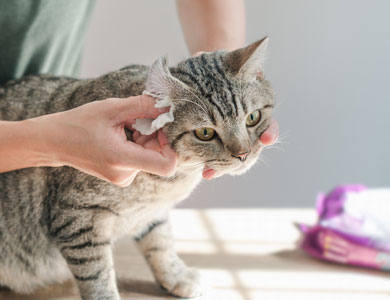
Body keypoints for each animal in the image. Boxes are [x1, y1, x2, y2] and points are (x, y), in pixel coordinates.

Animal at [0, 38, 274, 300]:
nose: (243, 154)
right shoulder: (76, 218)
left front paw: (175, 275)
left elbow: (160, 242)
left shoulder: (153, 211)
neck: (170, 182)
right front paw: (106, 296)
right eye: (205, 133)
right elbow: (96, 273)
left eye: (253, 118)